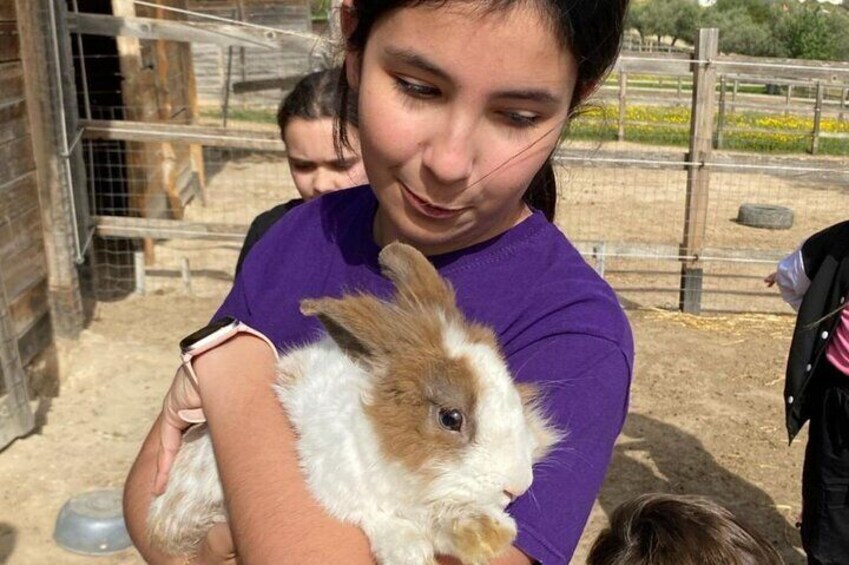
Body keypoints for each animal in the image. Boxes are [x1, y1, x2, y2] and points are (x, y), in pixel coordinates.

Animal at [147, 241, 562, 565]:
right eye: (450, 418)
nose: (518, 486)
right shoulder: (333, 482)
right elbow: (385, 518)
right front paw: (432, 545)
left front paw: (483, 533)